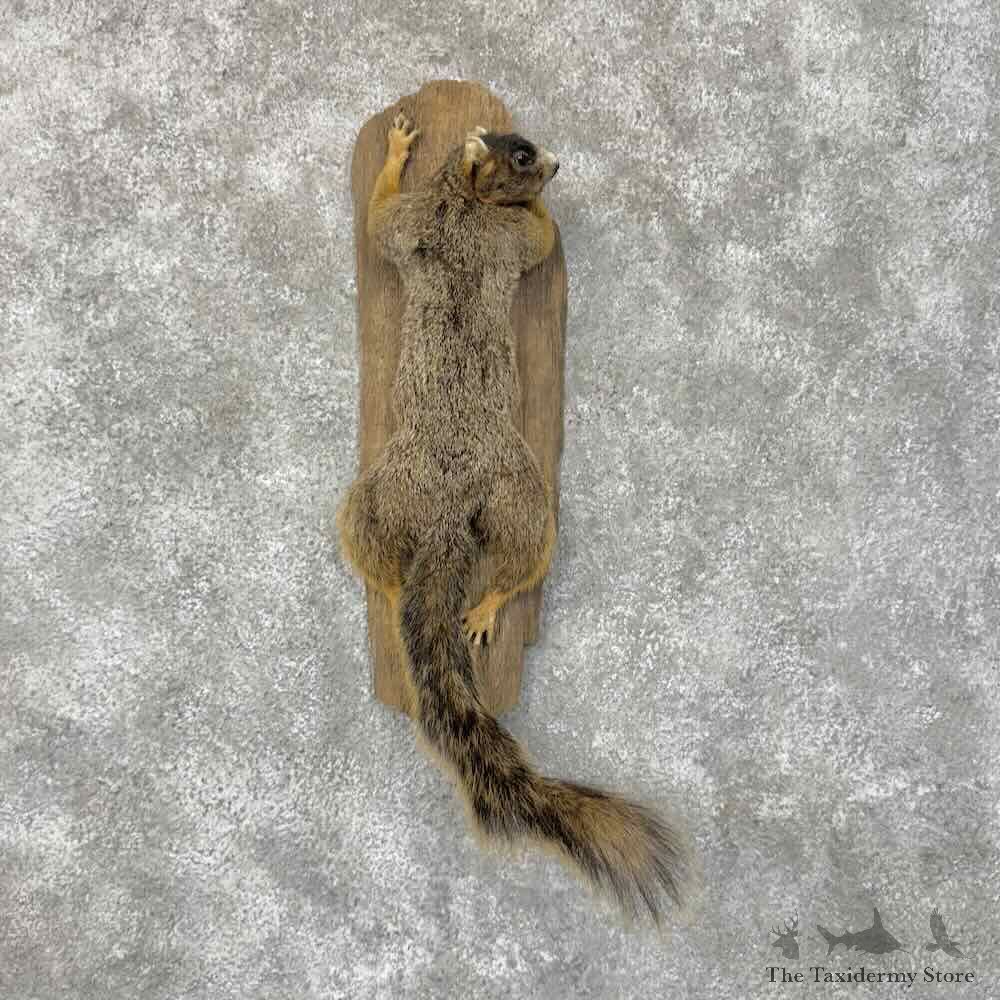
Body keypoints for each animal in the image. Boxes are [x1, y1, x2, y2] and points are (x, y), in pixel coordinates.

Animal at [337, 112, 695, 924]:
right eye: (522, 156)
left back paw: (479, 604)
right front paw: (400, 144)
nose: (558, 166)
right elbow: (393, 221)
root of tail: (442, 519)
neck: (465, 201)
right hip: (472, 500)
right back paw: (414, 592)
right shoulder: (447, 227)